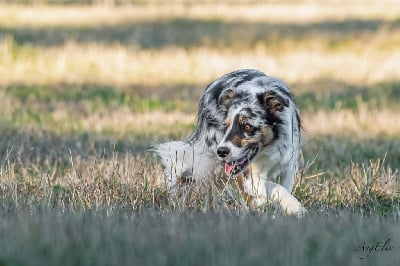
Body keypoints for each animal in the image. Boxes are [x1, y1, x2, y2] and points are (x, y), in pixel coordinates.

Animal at [155, 69, 304, 216]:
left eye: (247, 127)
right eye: (226, 126)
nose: (221, 152)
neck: (268, 149)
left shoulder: (288, 165)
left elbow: (282, 187)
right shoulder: (249, 176)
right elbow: (273, 187)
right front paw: (295, 207)